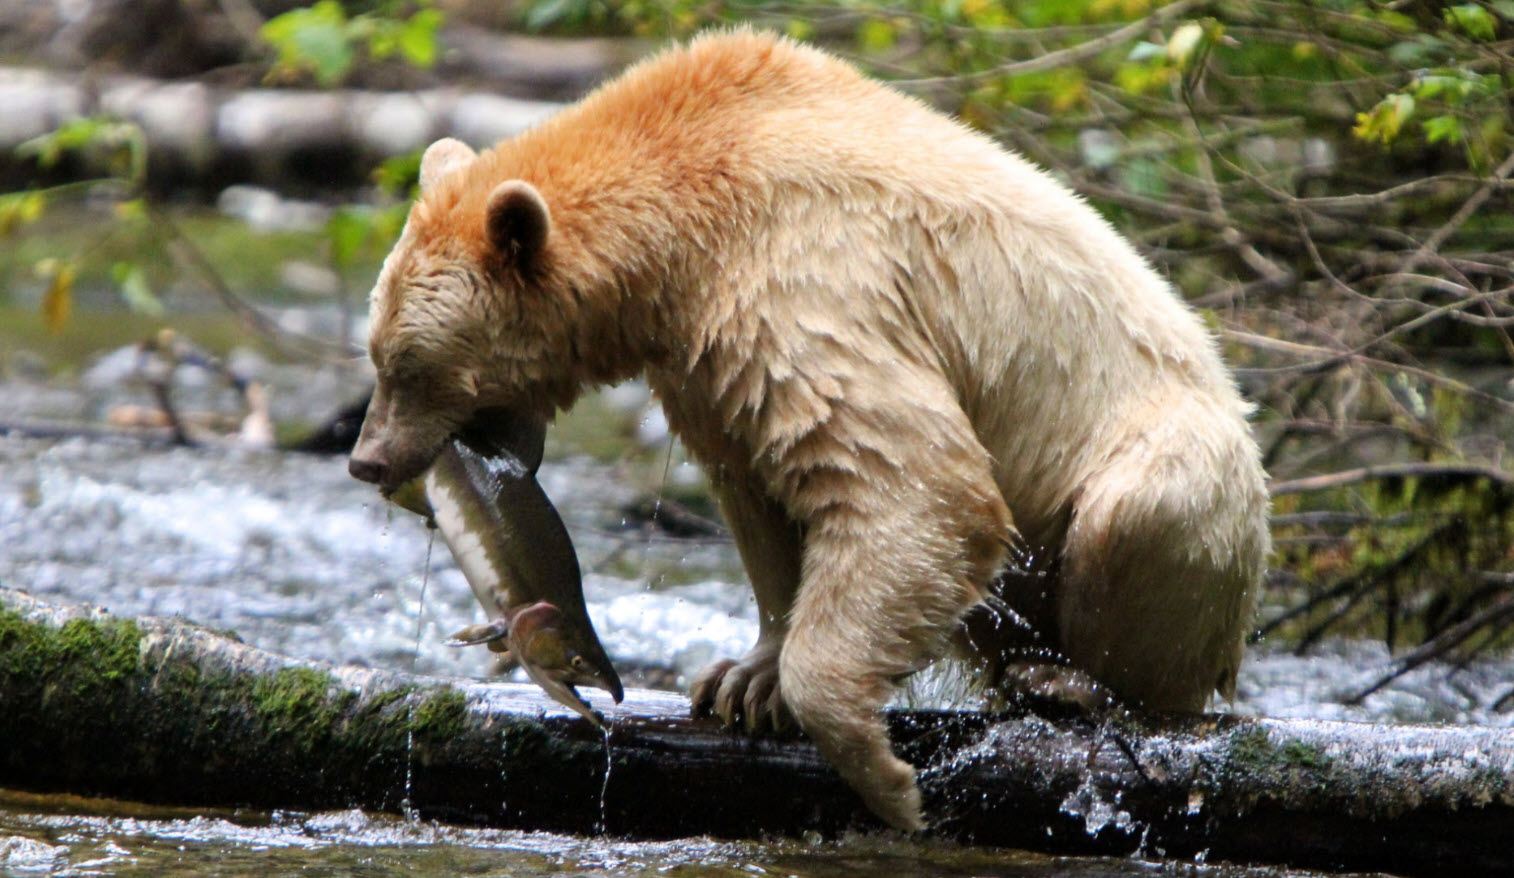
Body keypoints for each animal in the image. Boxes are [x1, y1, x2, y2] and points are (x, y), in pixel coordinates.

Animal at [347, 30, 1271, 832]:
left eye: (409, 362)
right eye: (376, 348)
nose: (367, 459)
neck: (676, 236)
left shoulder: (806, 278)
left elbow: (910, 482)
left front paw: (886, 777)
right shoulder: (704, 355)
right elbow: (759, 486)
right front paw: (744, 678)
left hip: (1181, 469)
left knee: (1143, 521)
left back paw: (1072, 679)